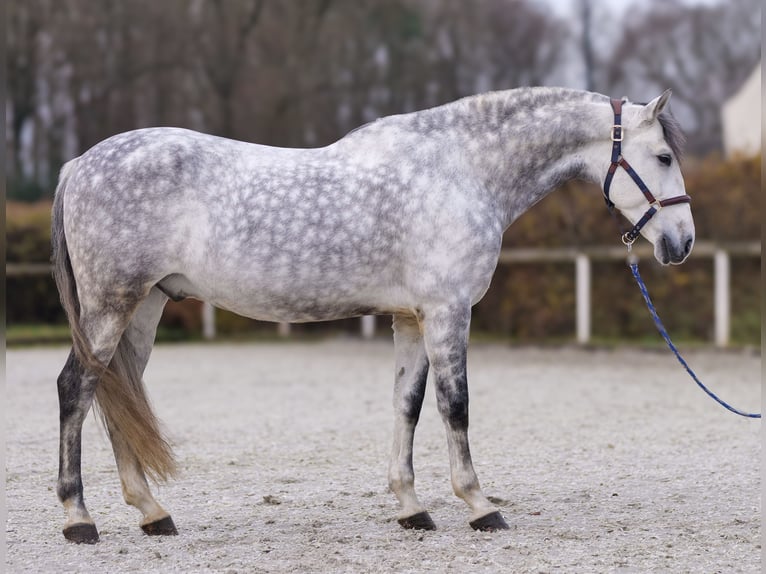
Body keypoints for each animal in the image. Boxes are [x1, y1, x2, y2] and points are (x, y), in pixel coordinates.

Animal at [51, 86, 692, 544]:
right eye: (662, 156)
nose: (681, 242)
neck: (461, 170)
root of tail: (78, 164)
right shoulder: (446, 311)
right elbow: (455, 407)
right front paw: (479, 505)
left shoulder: (410, 318)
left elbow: (407, 405)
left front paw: (412, 508)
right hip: (110, 306)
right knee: (76, 389)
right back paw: (79, 519)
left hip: (143, 307)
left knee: (119, 396)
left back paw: (152, 513)